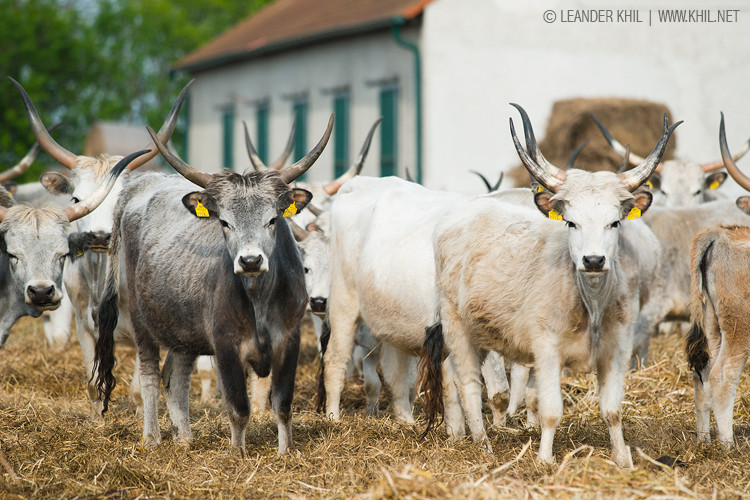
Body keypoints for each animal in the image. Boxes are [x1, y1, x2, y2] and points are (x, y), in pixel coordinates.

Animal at [93, 115, 333, 455]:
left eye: (273, 220)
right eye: (224, 222)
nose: (250, 260)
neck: (258, 298)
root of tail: (144, 183)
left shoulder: (289, 339)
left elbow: (282, 404)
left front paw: (285, 452)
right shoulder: (225, 345)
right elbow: (238, 407)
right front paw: (238, 452)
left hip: (183, 331)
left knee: (175, 376)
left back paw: (184, 438)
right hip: (142, 321)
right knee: (150, 375)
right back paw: (151, 438)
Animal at [420, 104, 678, 466]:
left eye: (615, 222)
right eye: (571, 222)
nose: (593, 260)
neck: (590, 304)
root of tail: (465, 209)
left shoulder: (617, 350)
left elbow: (612, 410)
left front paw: (622, 459)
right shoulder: (546, 351)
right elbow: (551, 410)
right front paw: (544, 460)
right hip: (456, 325)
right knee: (467, 382)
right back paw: (482, 444)